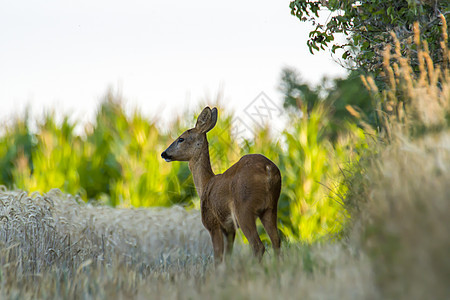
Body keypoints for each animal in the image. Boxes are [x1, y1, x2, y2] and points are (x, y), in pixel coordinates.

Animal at [162, 106, 282, 264]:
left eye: (181, 138)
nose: (164, 153)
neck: (205, 184)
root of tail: (268, 169)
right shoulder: (229, 229)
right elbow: (227, 256)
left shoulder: (212, 222)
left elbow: (218, 258)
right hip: (271, 207)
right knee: (276, 241)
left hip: (244, 208)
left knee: (258, 246)